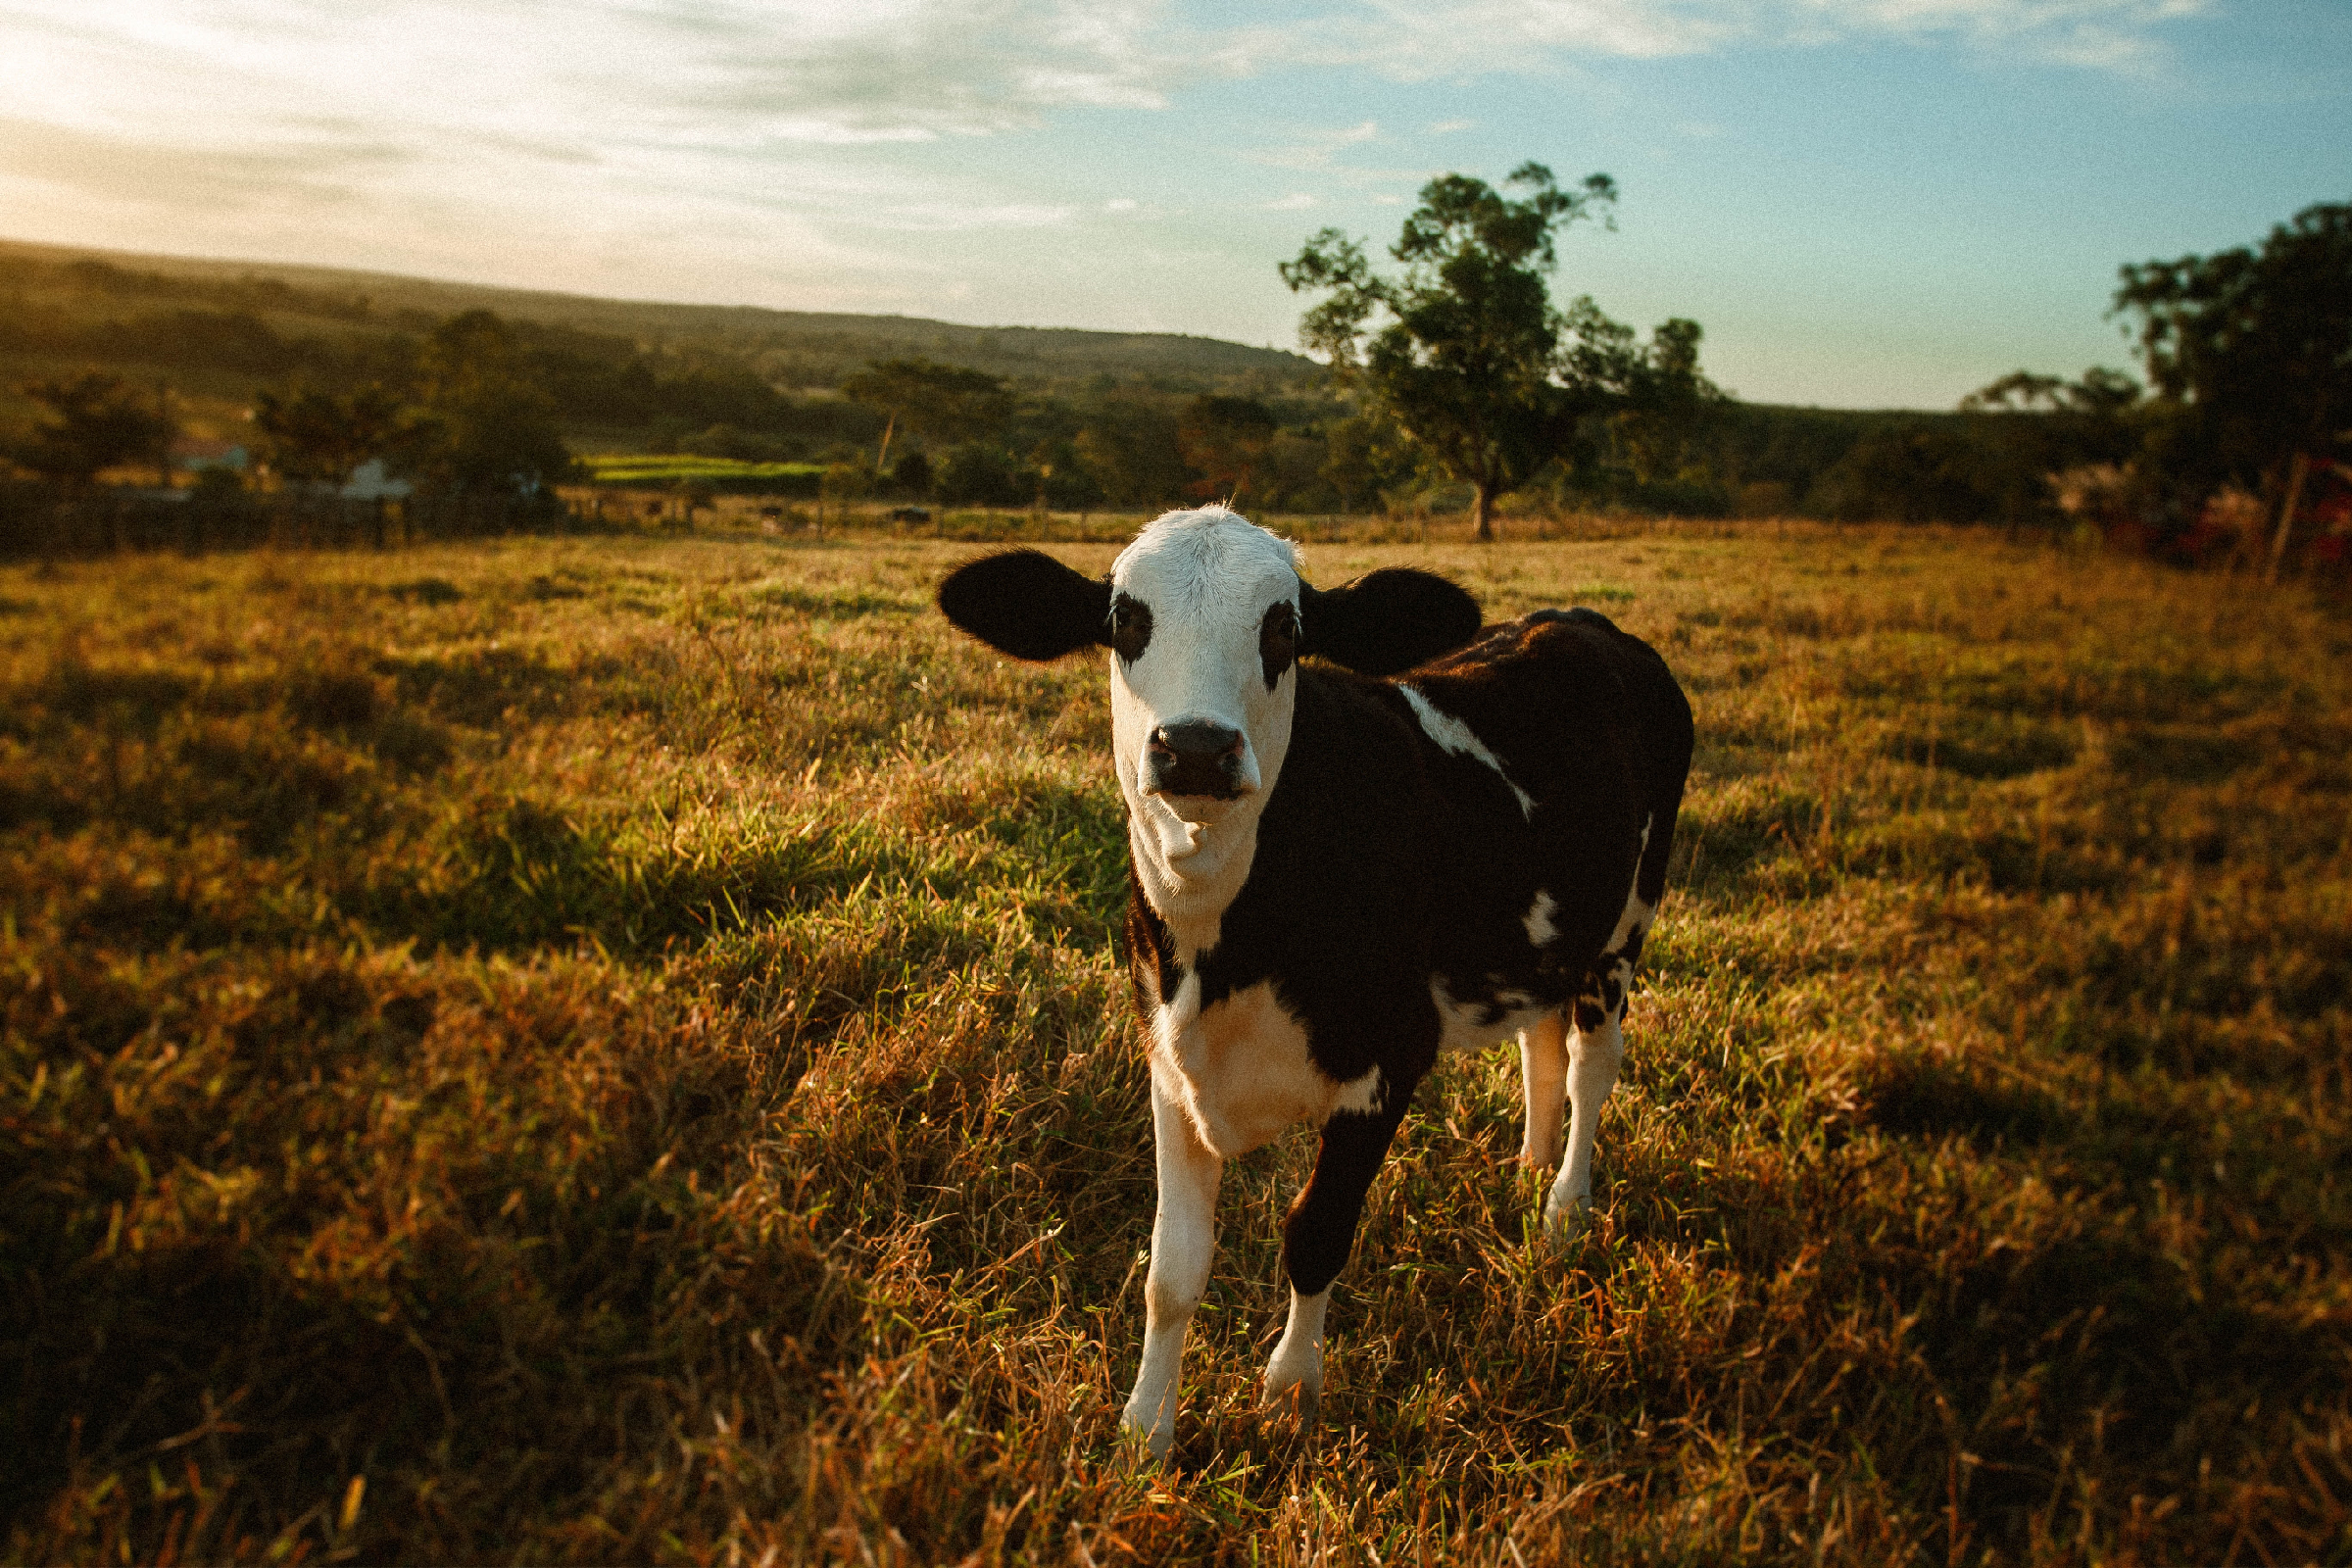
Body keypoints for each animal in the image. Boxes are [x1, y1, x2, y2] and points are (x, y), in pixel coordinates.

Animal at [936, 510, 1693, 1466]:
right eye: (1125, 621)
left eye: (1284, 629)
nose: (1195, 747)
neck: (1222, 947)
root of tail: (1579, 618)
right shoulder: (1168, 1064)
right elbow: (1171, 1270)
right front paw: (1146, 1430)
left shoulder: (1389, 1062)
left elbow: (1315, 1233)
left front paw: (1290, 1394)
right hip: (1548, 939)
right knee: (1541, 1046)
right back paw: (1526, 1173)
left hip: (1627, 920)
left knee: (1594, 1064)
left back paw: (1564, 1210)